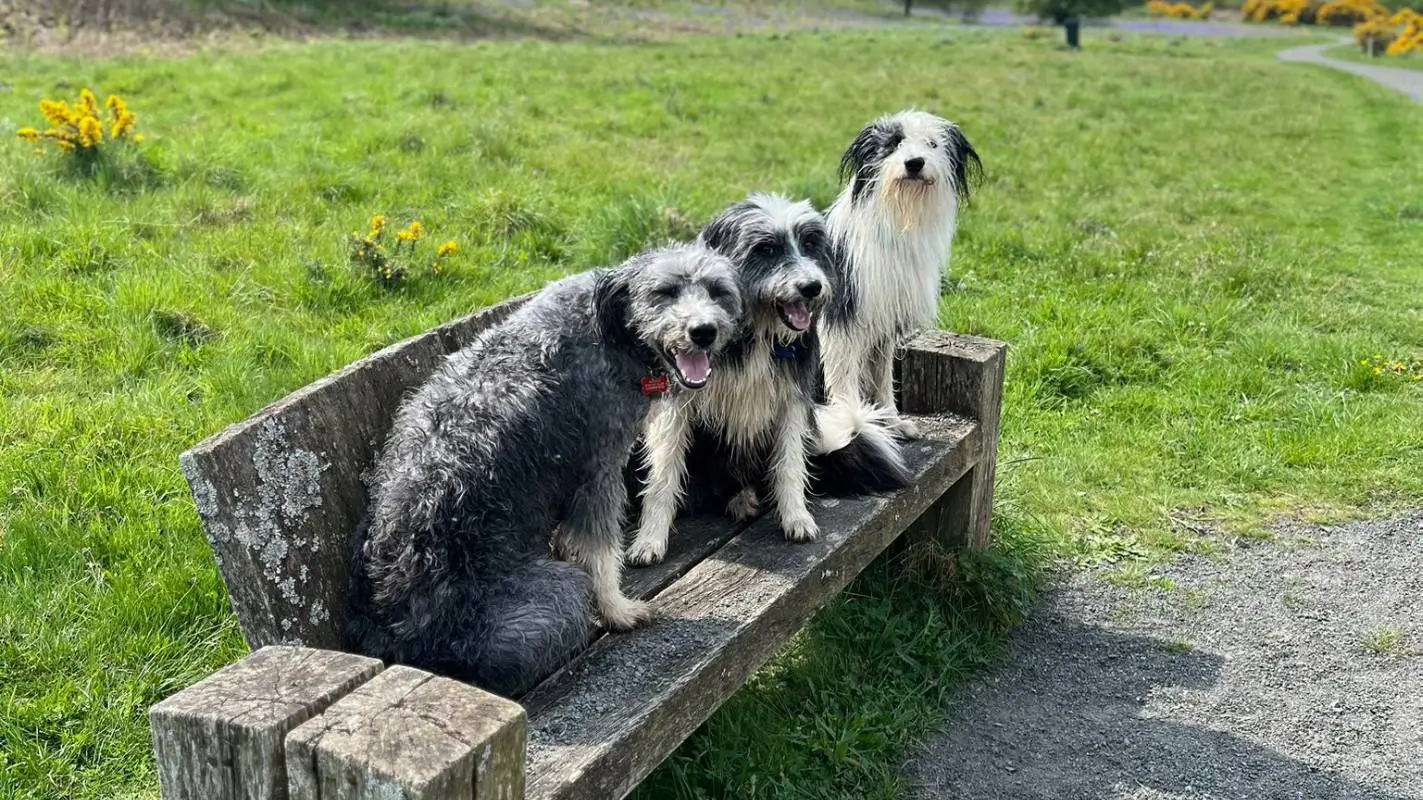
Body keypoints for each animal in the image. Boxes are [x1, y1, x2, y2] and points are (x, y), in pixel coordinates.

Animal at [348, 241, 739, 691]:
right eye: (665, 292)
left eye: (717, 291)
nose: (703, 331)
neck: (611, 328)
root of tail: (408, 643)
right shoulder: (599, 472)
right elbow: (602, 555)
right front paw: (619, 612)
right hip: (564, 592)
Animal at [626, 193, 910, 566]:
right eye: (766, 249)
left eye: (809, 244)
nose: (812, 287)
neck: (755, 334)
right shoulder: (676, 404)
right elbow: (662, 477)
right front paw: (650, 539)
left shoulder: (793, 399)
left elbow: (789, 464)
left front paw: (796, 517)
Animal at [813, 108, 979, 438]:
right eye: (893, 144)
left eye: (932, 144)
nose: (914, 163)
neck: (898, 221)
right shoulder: (842, 321)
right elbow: (844, 378)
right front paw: (851, 421)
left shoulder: (886, 323)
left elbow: (882, 377)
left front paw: (890, 419)